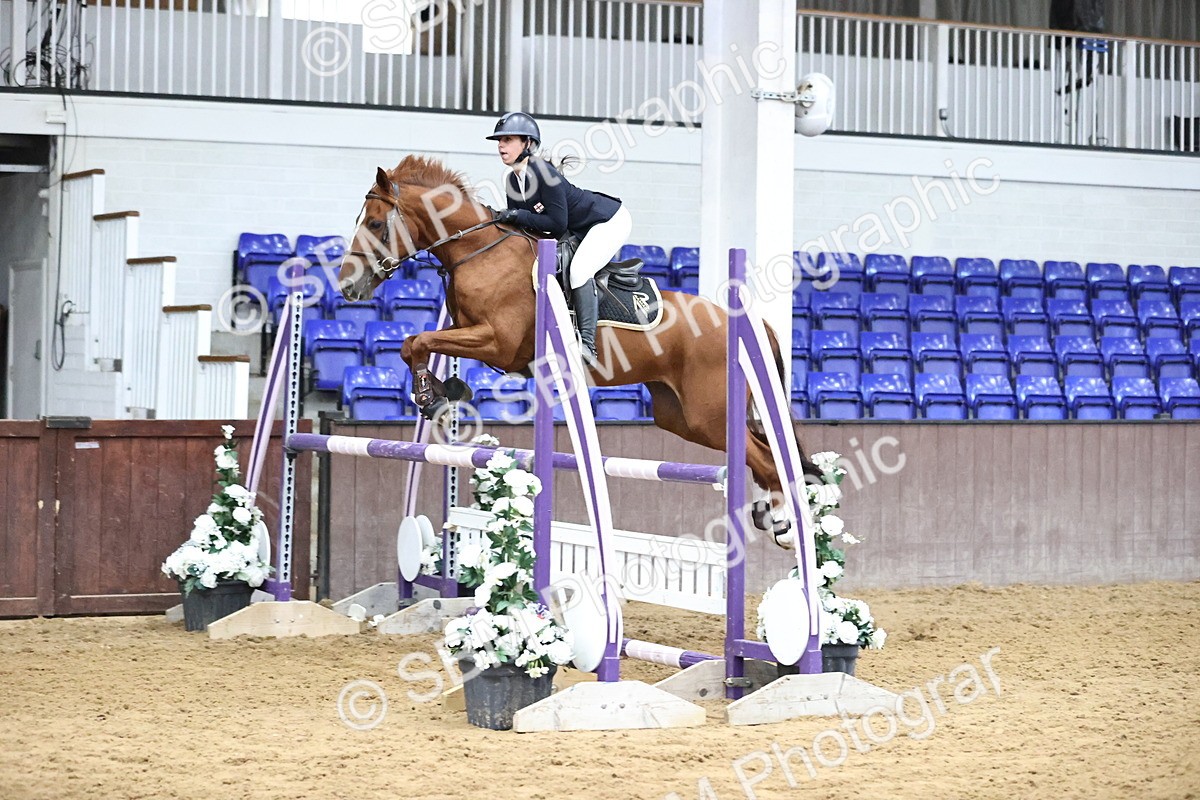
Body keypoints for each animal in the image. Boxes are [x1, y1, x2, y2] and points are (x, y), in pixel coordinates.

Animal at [336, 155, 818, 544]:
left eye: (375, 224)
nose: (347, 286)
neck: (478, 251)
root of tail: (749, 323)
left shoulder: (497, 342)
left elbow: (417, 341)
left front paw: (429, 395)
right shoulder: (471, 332)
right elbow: (416, 343)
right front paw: (447, 391)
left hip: (709, 414)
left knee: (767, 456)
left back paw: (783, 524)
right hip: (681, 416)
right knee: (764, 451)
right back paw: (770, 515)